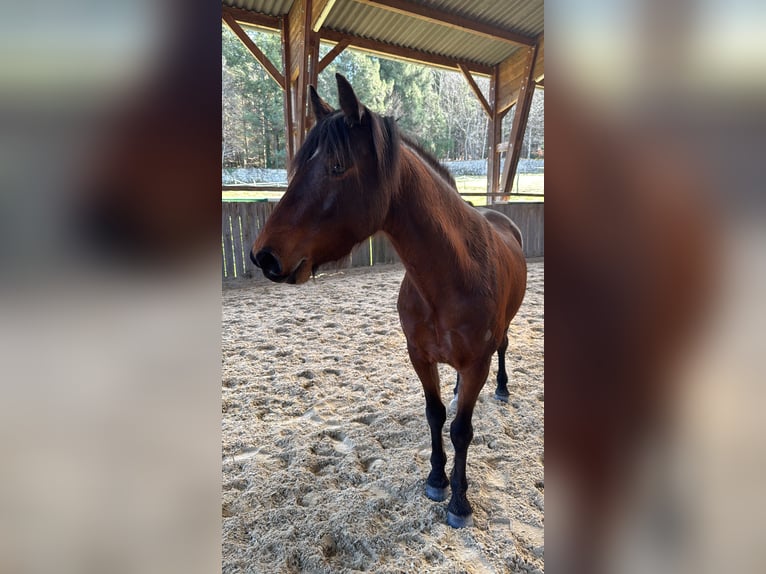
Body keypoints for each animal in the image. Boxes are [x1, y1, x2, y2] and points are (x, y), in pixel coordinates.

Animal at [251, 74, 527, 528]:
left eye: (337, 166)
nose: (264, 256)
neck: (450, 276)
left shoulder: (476, 364)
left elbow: (461, 431)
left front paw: (459, 502)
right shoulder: (419, 356)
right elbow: (435, 415)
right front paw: (436, 480)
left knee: (503, 349)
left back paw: (502, 388)